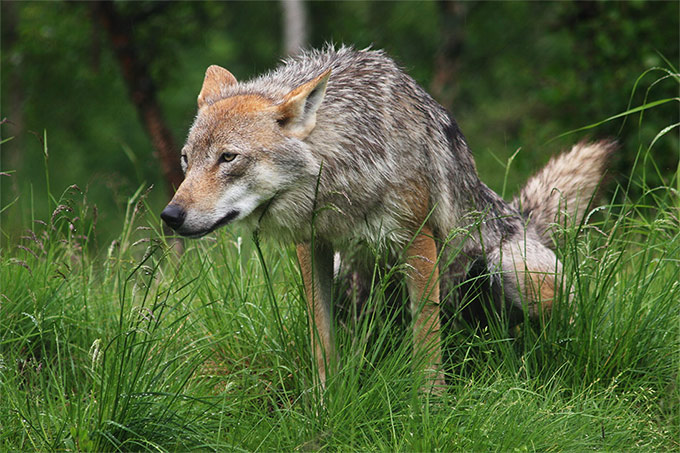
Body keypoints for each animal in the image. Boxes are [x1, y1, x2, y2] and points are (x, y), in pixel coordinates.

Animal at [161, 46, 612, 392]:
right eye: (186, 159)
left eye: (228, 157)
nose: (170, 215)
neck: (347, 163)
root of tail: (523, 216)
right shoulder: (313, 245)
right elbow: (321, 340)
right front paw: (325, 404)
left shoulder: (417, 240)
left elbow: (427, 344)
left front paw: (431, 408)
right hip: (349, 274)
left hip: (517, 271)